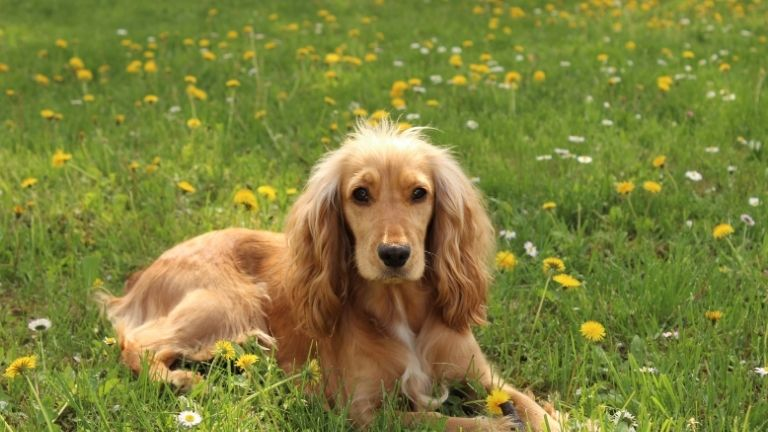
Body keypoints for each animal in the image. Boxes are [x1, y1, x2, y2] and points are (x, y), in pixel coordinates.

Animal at [99, 122, 560, 432]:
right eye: (360, 194)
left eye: (419, 193)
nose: (394, 254)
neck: (400, 309)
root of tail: (144, 274)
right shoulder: (363, 410)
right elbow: (438, 421)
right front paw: (495, 424)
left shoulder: (483, 376)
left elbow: (533, 406)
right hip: (226, 303)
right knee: (137, 343)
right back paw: (179, 378)